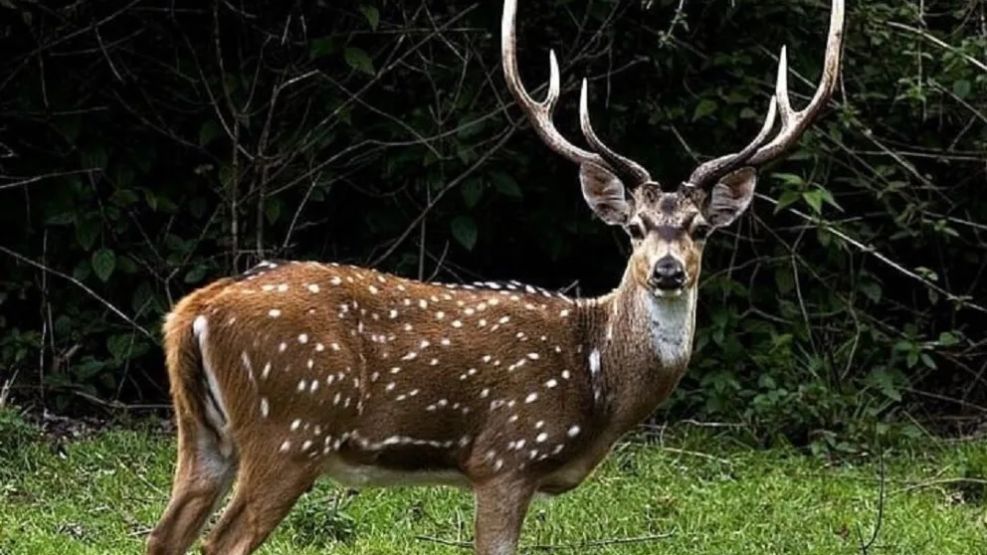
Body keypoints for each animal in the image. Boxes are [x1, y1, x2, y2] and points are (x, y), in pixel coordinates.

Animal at [146, 0, 845, 553]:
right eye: (634, 227)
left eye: (701, 229)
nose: (669, 271)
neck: (598, 380)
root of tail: (193, 312)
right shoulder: (507, 455)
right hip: (290, 425)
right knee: (221, 542)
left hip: (202, 433)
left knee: (164, 536)